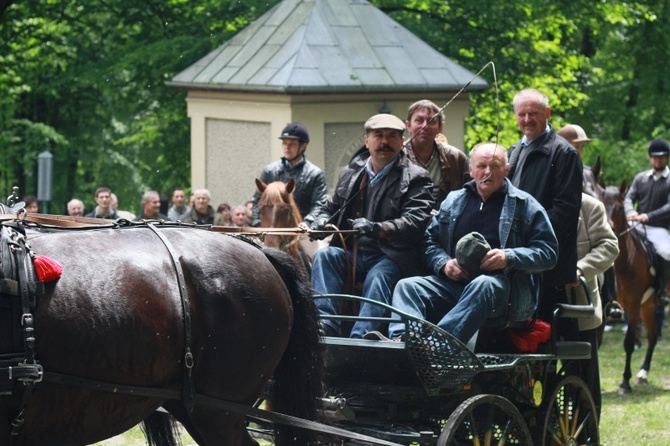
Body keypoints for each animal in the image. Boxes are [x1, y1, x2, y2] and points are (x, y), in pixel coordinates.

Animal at [604, 181, 660, 394]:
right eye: (602, 202)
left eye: (619, 207)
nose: (609, 227)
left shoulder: (633, 305)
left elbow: (628, 343)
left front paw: (625, 383)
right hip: (648, 305)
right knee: (653, 336)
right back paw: (643, 373)